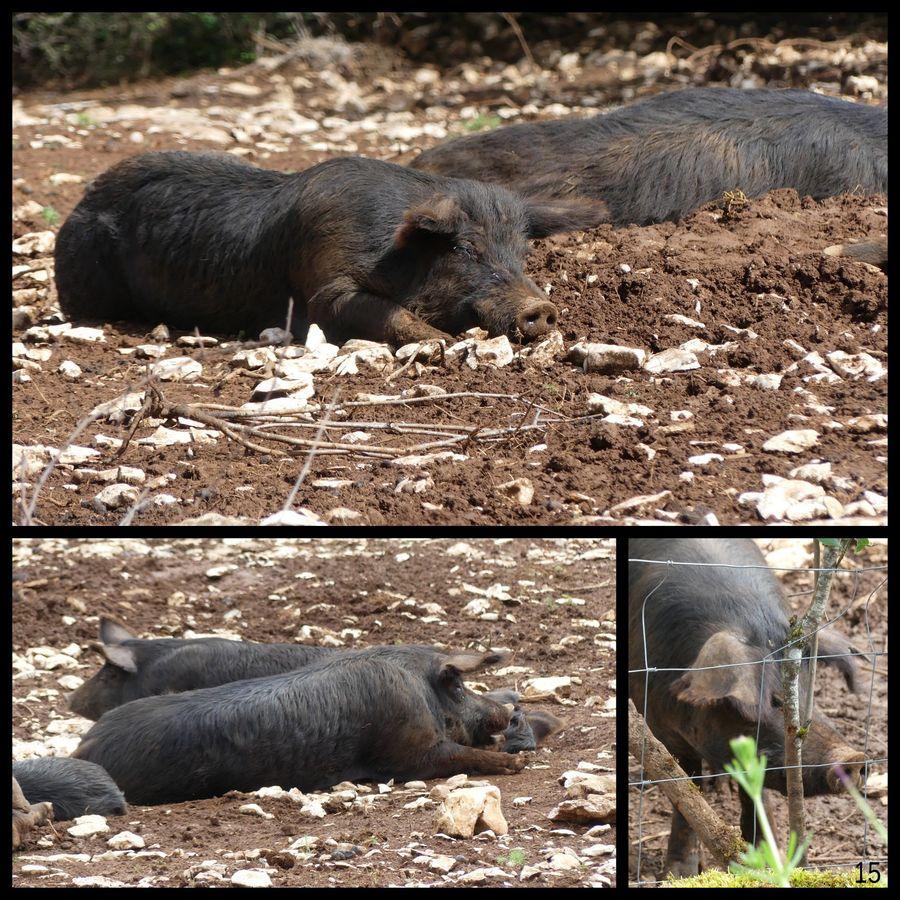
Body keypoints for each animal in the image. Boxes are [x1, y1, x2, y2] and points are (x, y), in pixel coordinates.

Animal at [52, 149, 608, 346]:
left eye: (521, 253)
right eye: (465, 250)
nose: (542, 308)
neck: (391, 251)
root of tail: (79, 204)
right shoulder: (323, 276)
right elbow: (375, 311)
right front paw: (439, 343)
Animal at [75, 644, 528, 804]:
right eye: (459, 686)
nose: (508, 711)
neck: (419, 688)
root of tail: (83, 749)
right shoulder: (408, 753)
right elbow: (459, 754)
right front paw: (515, 764)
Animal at [628, 536, 868, 876]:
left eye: (808, 692)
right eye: (773, 702)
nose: (853, 757)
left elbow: (755, 794)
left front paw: (769, 861)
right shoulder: (660, 727)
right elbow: (685, 791)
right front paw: (679, 873)